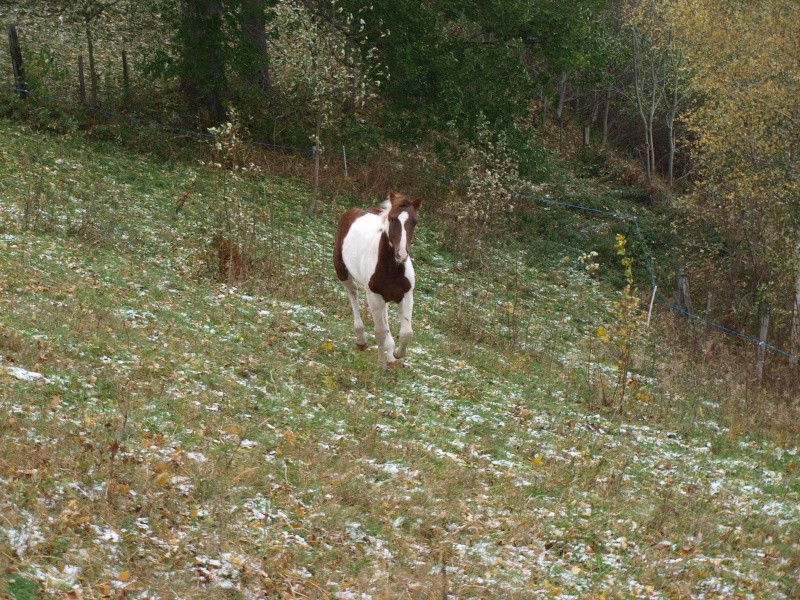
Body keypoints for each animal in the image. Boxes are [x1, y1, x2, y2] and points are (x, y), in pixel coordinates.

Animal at [332, 192, 424, 366]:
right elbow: (379, 331)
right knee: (353, 294)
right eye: (393, 219)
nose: (401, 254)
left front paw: (395, 355)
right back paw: (361, 340)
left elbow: (406, 333)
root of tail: (353, 211)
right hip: (343, 273)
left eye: (415, 222)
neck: (392, 269)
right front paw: (381, 364)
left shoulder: (406, 294)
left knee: (385, 313)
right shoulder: (373, 295)